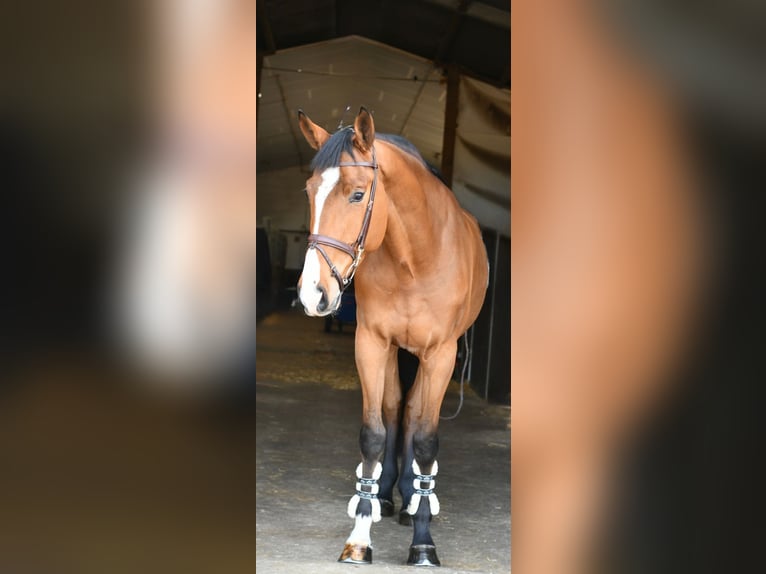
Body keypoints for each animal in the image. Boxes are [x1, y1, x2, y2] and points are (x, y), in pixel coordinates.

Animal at [296, 107, 488, 566]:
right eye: (310, 191)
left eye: (357, 195)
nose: (313, 294)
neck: (414, 259)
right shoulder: (371, 343)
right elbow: (374, 432)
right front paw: (360, 537)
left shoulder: (440, 354)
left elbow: (426, 441)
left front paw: (423, 542)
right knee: (396, 409)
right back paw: (386, 496)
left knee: (414, 414)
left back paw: (411, 502)